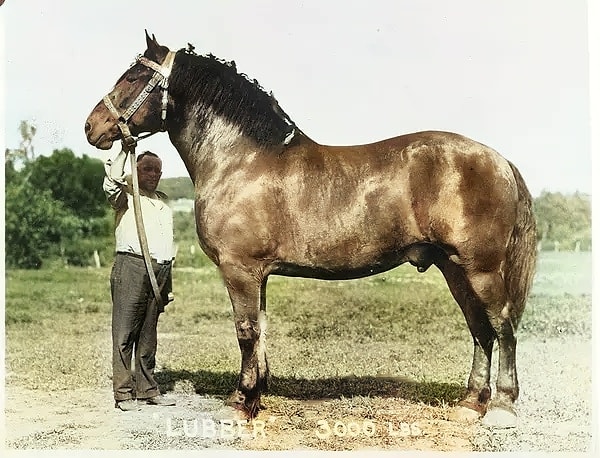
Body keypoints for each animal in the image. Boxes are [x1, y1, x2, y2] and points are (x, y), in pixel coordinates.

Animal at [83, 33, 536, 430]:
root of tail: (499, 159)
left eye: (132, 78)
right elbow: (261, 330)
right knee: (480, 331)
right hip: (455, 269)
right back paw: (469, 405)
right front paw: (256, 396)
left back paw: (501, 408)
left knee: (503, 326)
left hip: (480, 269)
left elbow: (246, 332)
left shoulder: (239, 270)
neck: (240, 160)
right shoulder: (258, 274)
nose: (92, 127)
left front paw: (239, 404)